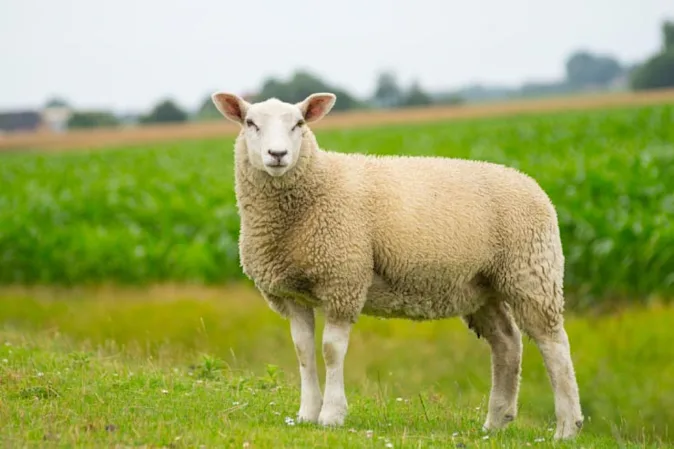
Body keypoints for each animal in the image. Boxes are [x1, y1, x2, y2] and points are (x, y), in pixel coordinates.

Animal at [210, 91, 584, 440]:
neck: (314, 187)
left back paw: (567, 427)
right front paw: (306, 414)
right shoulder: (293, 293)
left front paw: (332, 415)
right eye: (250, 123)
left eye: (299, 123)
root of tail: (532, 184)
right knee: (507, 343)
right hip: (482, 286)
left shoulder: (344, 280)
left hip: (531, 273)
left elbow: (331, 351)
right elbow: (303, 350)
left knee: (555, 346)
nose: (277, 155)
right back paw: (496, 421)